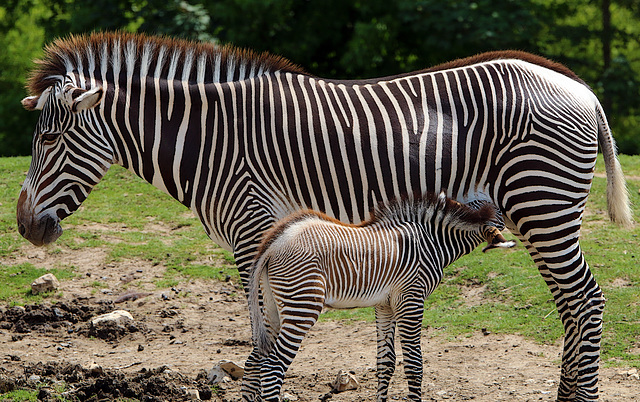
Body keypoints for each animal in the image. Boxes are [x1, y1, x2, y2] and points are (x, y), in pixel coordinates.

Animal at [240, 193, 516, 400]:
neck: (430, 242)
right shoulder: (411, 299)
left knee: (256, 361)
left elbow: (386, 363)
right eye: (500, 214)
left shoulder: (385, 305)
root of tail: (273, 243)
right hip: (302, 306)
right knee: (272, 368)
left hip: (273, 307)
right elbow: (414, 363)